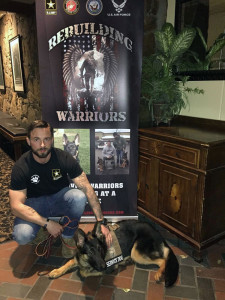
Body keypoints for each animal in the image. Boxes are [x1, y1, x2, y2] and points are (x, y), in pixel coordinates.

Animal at [48, 219, 178, 288]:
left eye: (100, 249)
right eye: (90, 252)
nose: (104, 266)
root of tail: (157, 232)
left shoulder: (103, 269)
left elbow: (83, 272)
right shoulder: (78, 258)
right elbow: (70, 261)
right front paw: (56, 271)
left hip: (136, 252)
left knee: (163, 260)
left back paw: (159, 273)